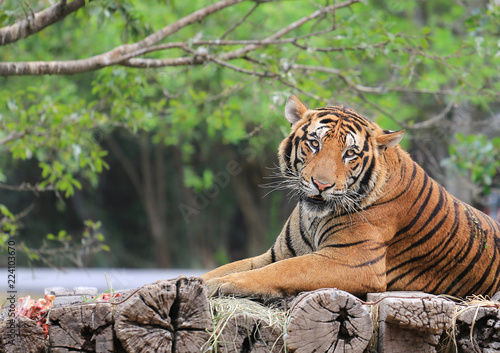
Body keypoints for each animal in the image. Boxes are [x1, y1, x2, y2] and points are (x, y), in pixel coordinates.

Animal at [201, 95, 500, 296]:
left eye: (350, 153)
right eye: (314, 144)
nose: (321, 185)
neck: (313, 217)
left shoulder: (352, 260)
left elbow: (282, 271)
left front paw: (225, 284)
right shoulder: (278, 253)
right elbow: (229, 266)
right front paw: (199, 282)